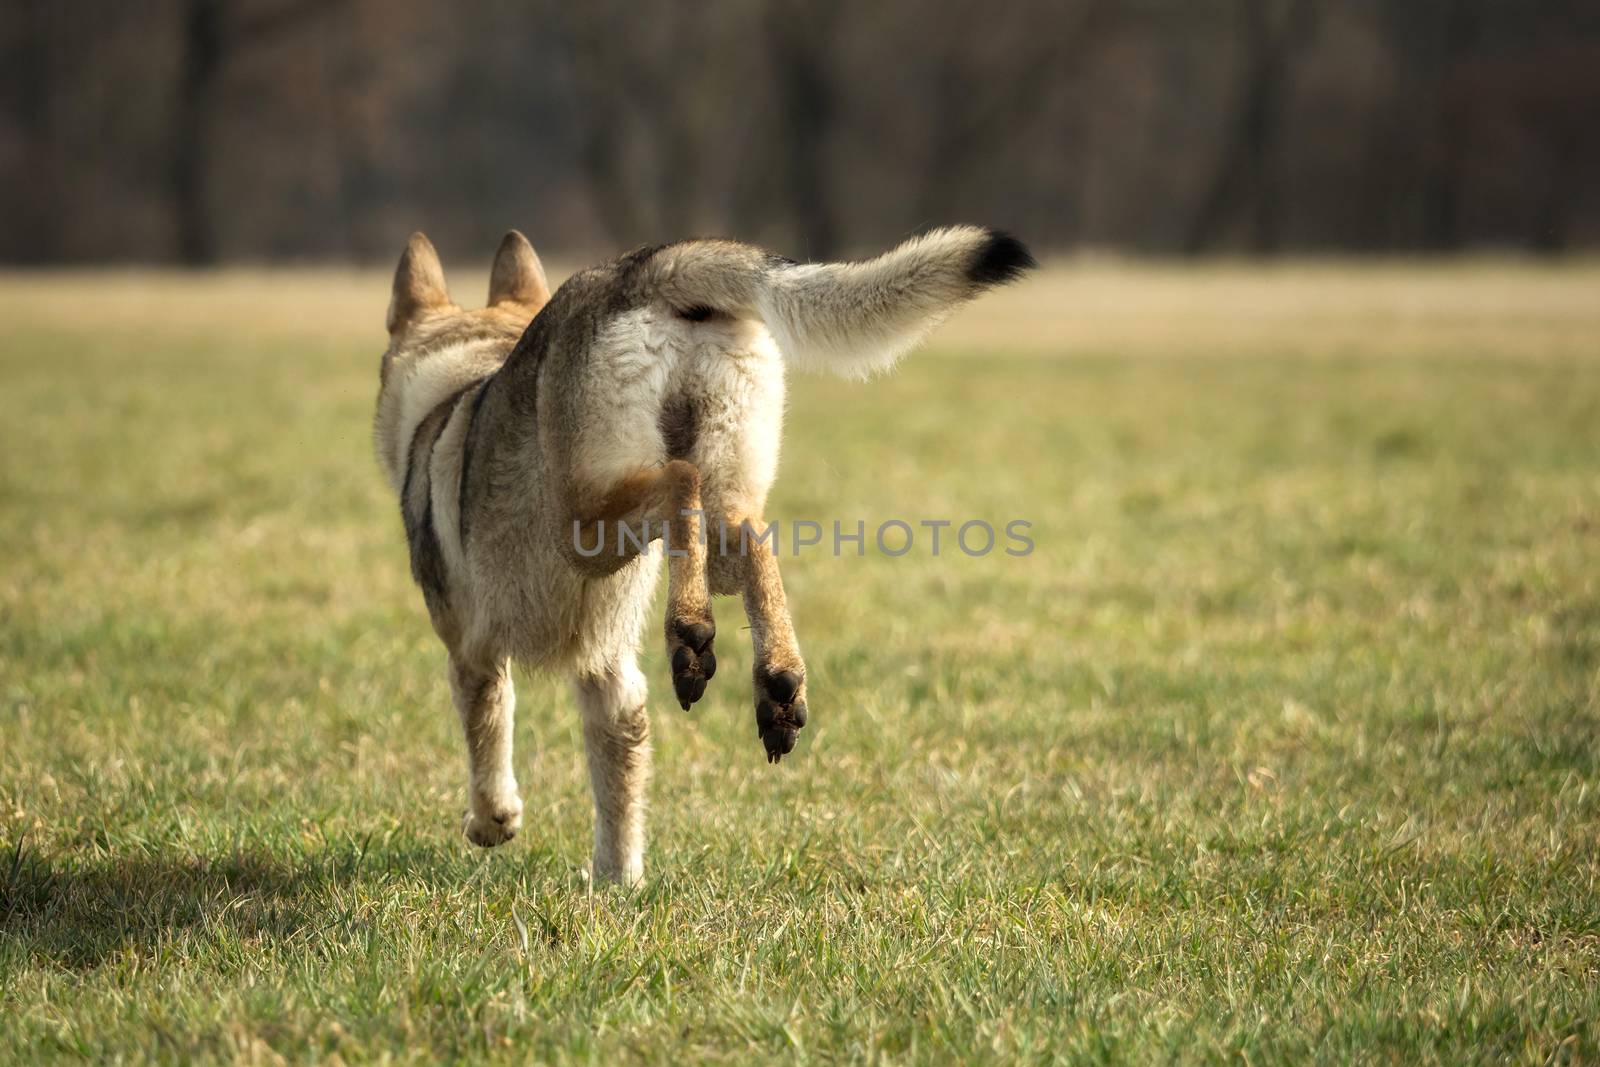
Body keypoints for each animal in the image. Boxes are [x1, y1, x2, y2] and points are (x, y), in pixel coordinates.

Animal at [369, 227, 1030, 883]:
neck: (461, 382)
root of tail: (647, 267)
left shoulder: (473, 655)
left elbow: (489, 745)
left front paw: (493, 824)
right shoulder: (610, 677)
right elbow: (619, 800)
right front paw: (617, 885)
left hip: (583, 527)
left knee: (679, 483)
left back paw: (689, 630)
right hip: (723, 509)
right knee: (747, 539)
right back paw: (775, 685)